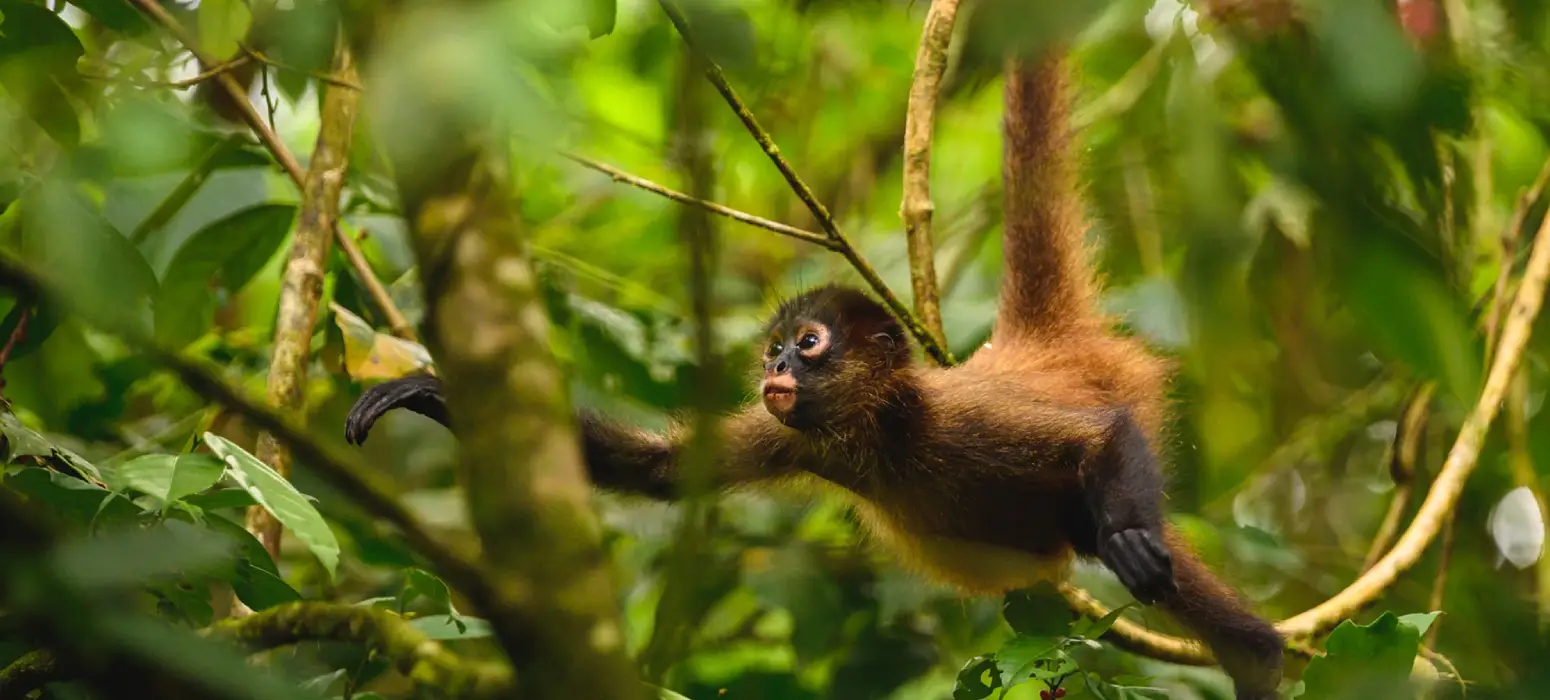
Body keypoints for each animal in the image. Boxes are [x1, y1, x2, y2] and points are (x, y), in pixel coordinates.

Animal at [342, 52, 1285, 700]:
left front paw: (1134, 542)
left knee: (1145, 543)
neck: (883, 432)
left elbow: (1105, 437)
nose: (776, 368)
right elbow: (661, 473)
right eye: (773, 351)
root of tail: (1036, 343)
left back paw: (1250, 647)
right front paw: (427, 393)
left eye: (810, 343)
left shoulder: (952, 424)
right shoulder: (800, 437)